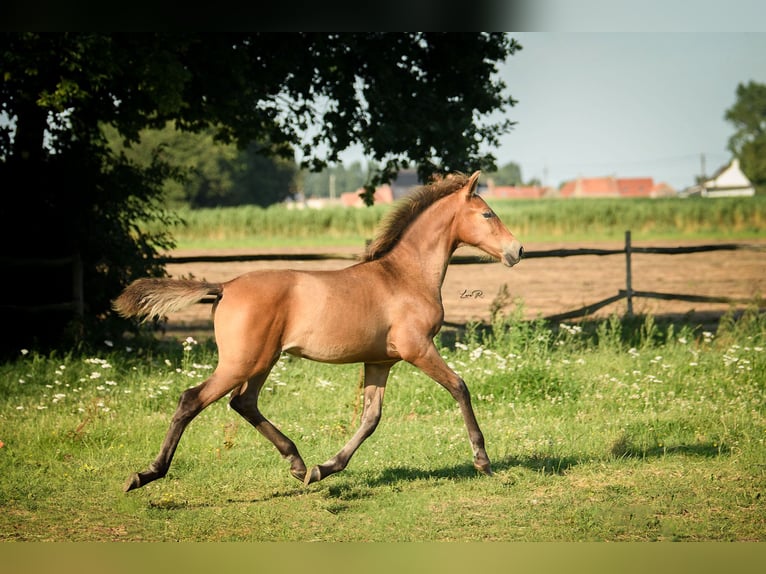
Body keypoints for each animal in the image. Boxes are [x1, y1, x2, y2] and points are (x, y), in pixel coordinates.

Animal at [112, 169, 520, 492]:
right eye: (487, 213)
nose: (517, 250)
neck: (405, 275)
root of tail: (226, 285)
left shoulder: (380, 361)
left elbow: (370, 419)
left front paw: (325, 469)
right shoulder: (417, 348)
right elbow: (460, 387)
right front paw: (482, 460)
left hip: (262, 361)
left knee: (243, 403)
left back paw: (297, 464)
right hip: (242, 361)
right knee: (191, 399)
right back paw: (146, 474)